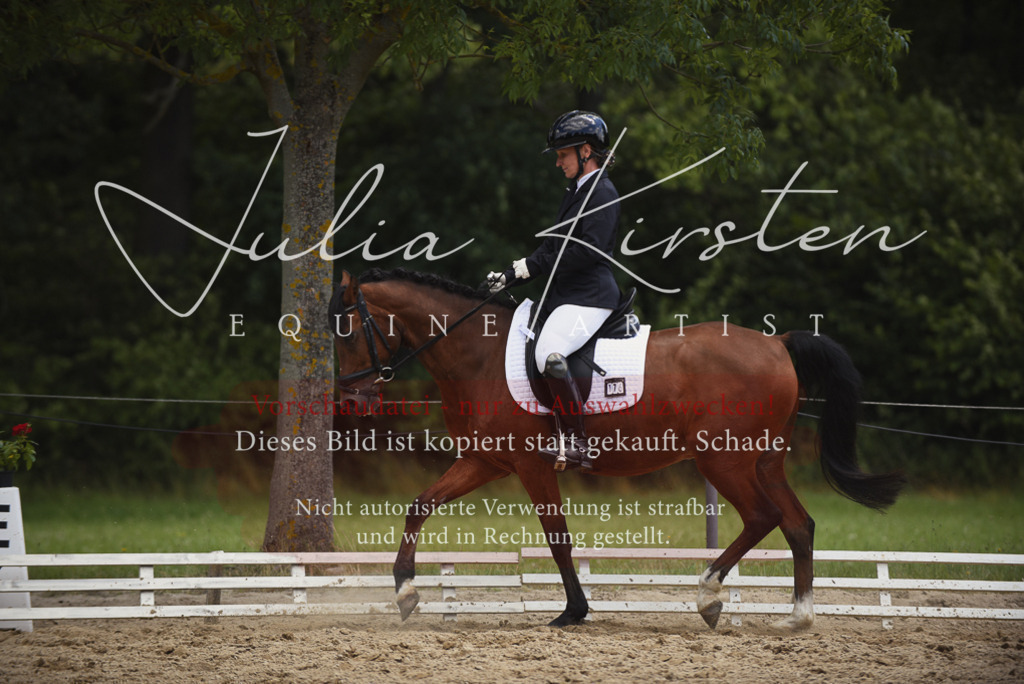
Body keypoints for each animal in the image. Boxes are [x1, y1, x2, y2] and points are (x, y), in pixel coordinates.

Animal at [329, 267, 905, 630]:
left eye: (348, 330)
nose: (352, 400)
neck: (481, 355)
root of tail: (778, 343)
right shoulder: (483, 461)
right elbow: (419, 505)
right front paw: (404, 591)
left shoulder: (532, 466)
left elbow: (558, 538)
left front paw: (573, 611)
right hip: (762, 460)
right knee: (798, 524)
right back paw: (798, 616)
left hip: (723, 459)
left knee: (764, 517)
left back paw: (708, 595)